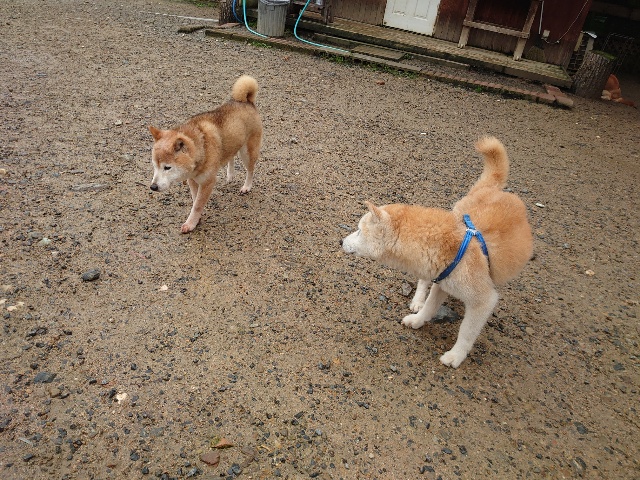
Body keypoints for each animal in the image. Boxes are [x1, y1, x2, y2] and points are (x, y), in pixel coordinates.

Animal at [148, 75, 263, 233]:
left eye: (167, 167)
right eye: (154, 166)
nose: (153, 187)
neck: (202, 149)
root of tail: (247, 102)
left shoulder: (208, 182)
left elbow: (197, 204)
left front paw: (190, 223)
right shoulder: (192, 180)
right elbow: (195, 199)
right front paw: (197, 219)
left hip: (247, 152)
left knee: (250, 170)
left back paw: (246, 186)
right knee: (231, 157)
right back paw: (230, 175)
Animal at [342, 137, 533, 368]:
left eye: (359, 230)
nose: (341, 241)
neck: (447, 247)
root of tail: (494, 188)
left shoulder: (481, 300)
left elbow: (466, 331)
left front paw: (455, 356)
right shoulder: (442, 282)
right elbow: (430, 307)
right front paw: (418, 320)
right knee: (424, 282)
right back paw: (417, 300)